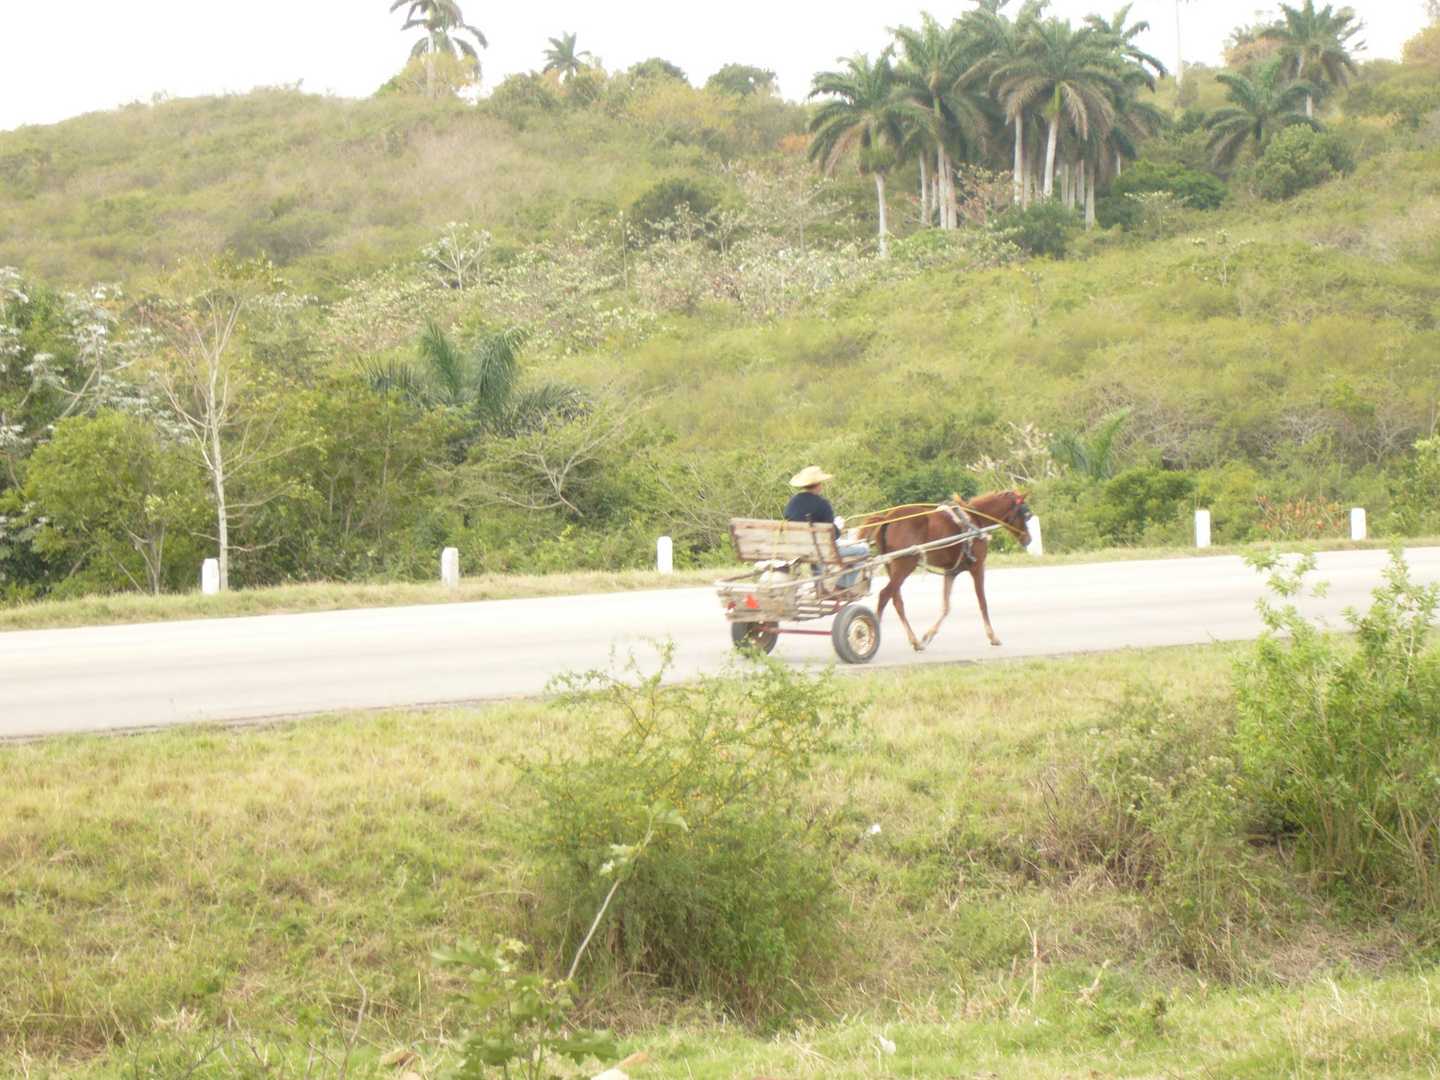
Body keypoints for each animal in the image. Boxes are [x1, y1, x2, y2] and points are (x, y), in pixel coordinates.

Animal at [852, 489, 1036, 650]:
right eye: (1025, 513)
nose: (1029, 539)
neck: (976, 521)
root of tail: (886, 518)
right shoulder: (977, 567)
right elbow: (982, 602)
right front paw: (993, 636)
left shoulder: (950, 572)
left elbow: (946, 606)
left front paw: (928, 635)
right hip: (905, 566)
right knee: (884, 595)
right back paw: (872, 634)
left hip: (892, 566)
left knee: (897, 601)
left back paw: (915, 641)